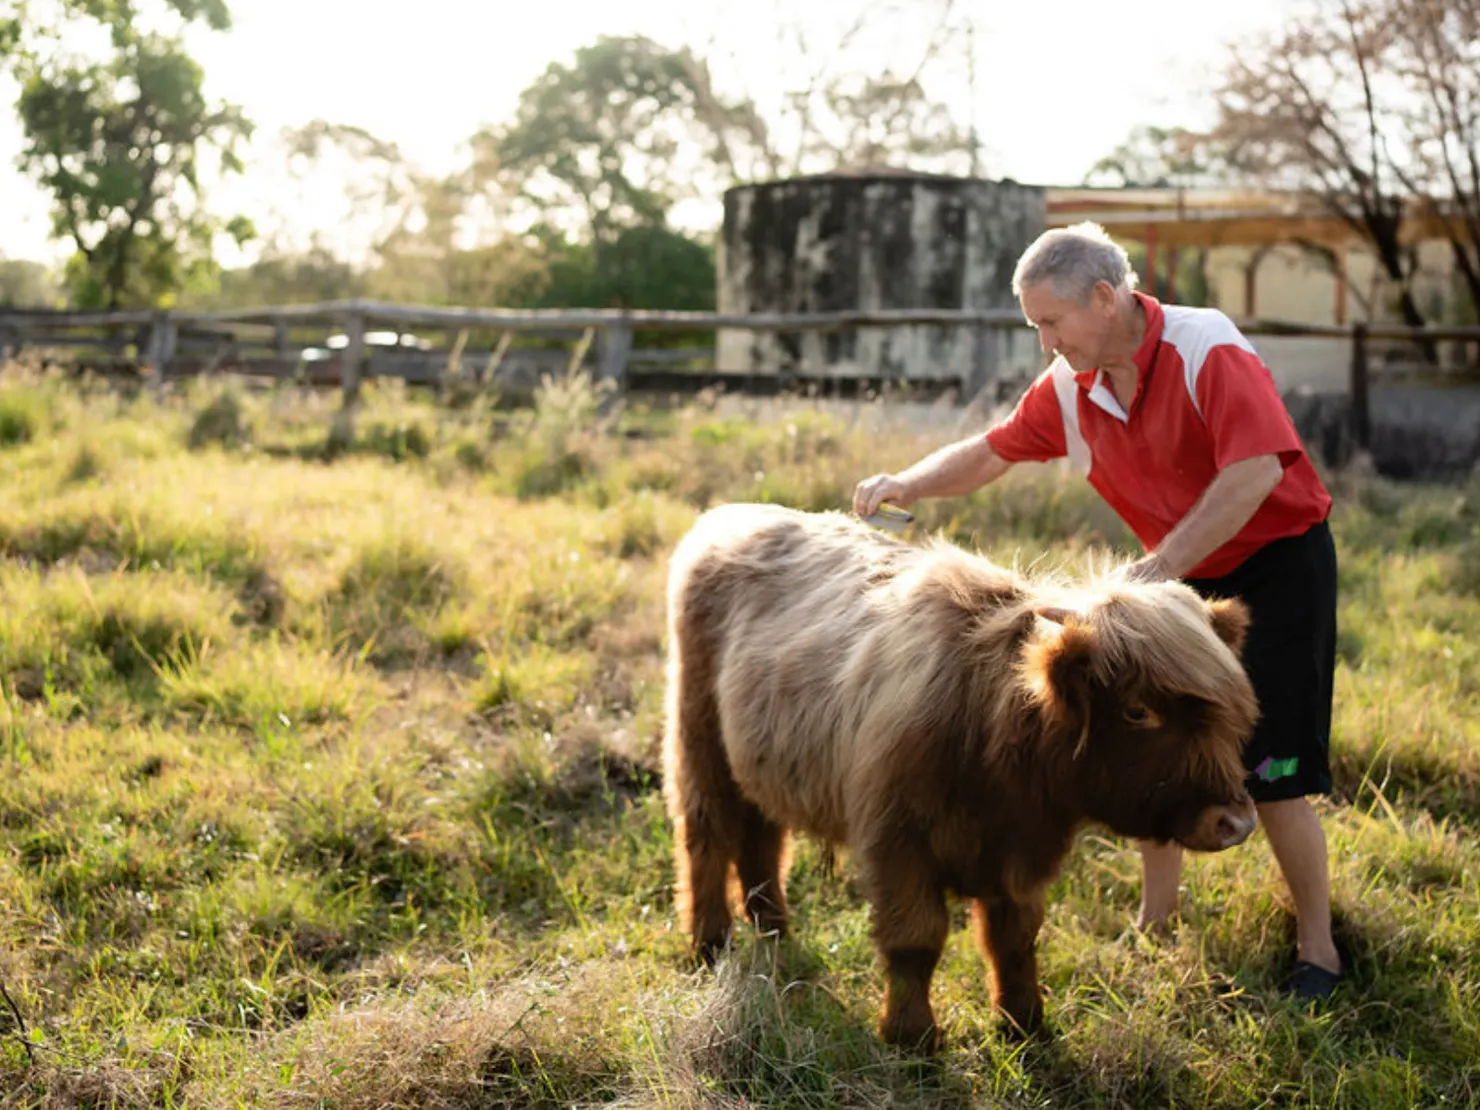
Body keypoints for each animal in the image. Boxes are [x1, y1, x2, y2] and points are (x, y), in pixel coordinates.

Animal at [666, 503, 1255, 1053]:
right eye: (1138, 711)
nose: (1236, 822)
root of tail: (734, 513)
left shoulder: (1022, 855)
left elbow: (1014, 938)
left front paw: (1025, 1025)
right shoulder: (897, 843)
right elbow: (915, 940)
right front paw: (912, 1039)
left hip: (760, 758)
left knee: (761, 835)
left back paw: (773, 928)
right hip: (698, 738)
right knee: (707, 833)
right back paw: (710, 942)